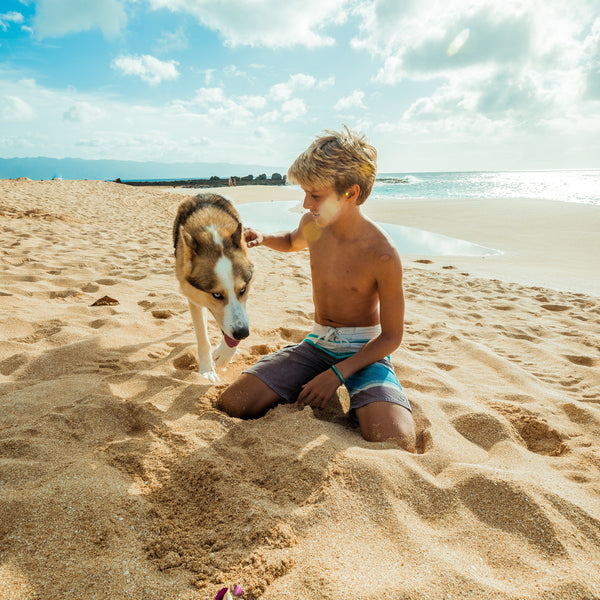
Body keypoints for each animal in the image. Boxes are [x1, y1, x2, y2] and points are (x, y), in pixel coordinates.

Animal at [173, 193, 253, 380]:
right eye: (216, 295)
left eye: (242, 290)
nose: (243, 333)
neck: (212, 234)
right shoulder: (193, 298)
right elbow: (203, 338)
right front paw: (207, 370)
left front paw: (224, 355)